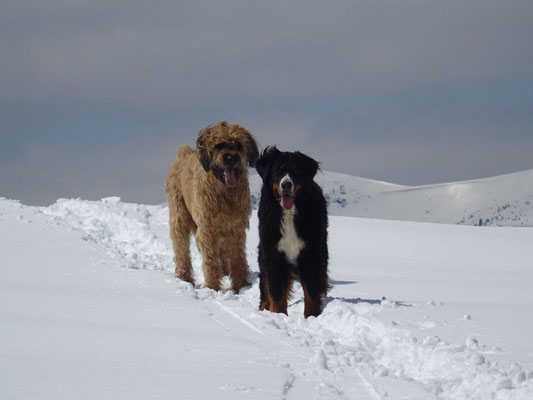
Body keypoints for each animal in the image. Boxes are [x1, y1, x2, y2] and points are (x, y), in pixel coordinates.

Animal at [165, 120, 258, 292]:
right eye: (220, 145)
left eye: (238, 145)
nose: (231, 158)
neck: (224, 192)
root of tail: (183, 154)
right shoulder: (207, 229)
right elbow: (210, 260)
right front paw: (212, 287)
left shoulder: (236, 227)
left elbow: (237, 257)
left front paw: (241, 285)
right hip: (179, 216)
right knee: (181, 248)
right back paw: (184, 277)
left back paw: (226, 270)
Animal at [255, 145, 328, 318]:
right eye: (278, 171)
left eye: (296, 171)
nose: (286, 184)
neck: (289, 214)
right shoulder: (273, 254)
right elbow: (277, 292)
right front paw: (279, 316)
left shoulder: (311, 253)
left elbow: (311, 292)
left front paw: (311, 317)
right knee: (265, 286)